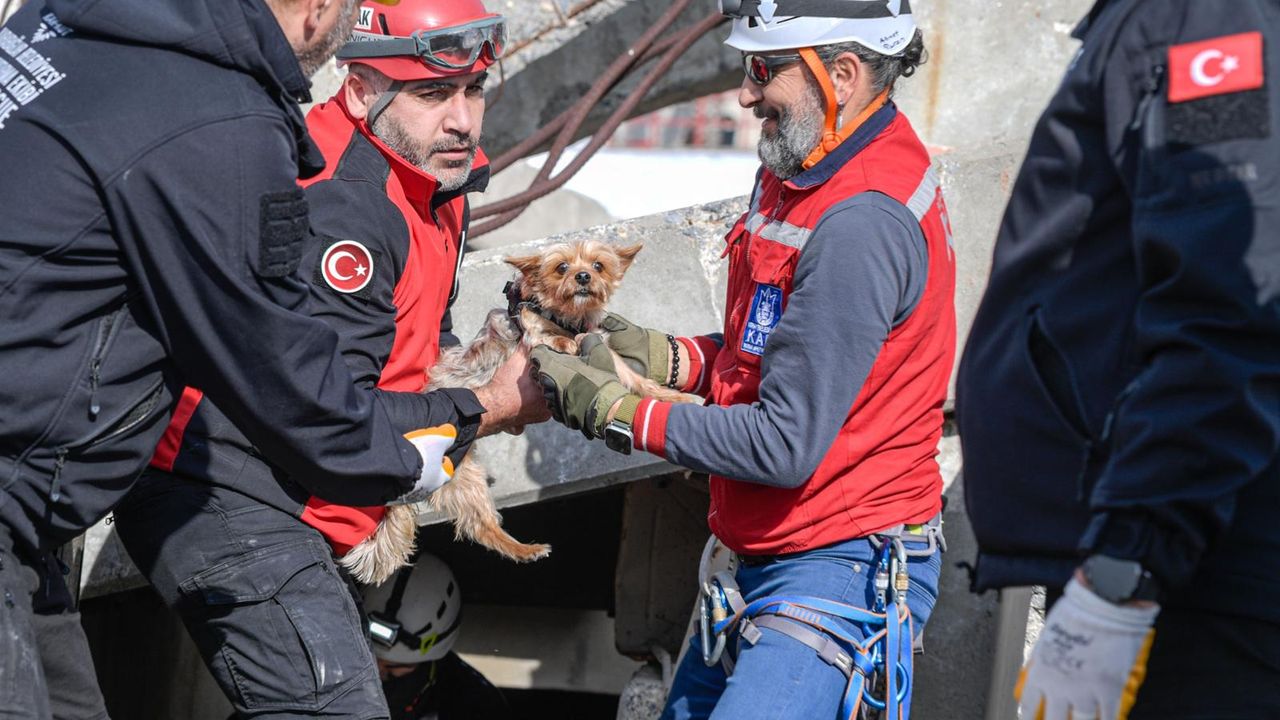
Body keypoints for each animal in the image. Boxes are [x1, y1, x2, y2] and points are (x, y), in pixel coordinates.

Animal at [340, 239, 690, 584]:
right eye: (562, 267)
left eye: (598, 266)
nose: (582, 277)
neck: (568, 317)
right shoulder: (534, 335)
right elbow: (549, 338)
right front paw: (564, 344)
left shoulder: (603, 348)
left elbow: (634, 379)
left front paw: (672, 398)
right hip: (463, 477)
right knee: (479, 526)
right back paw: (525, 550)